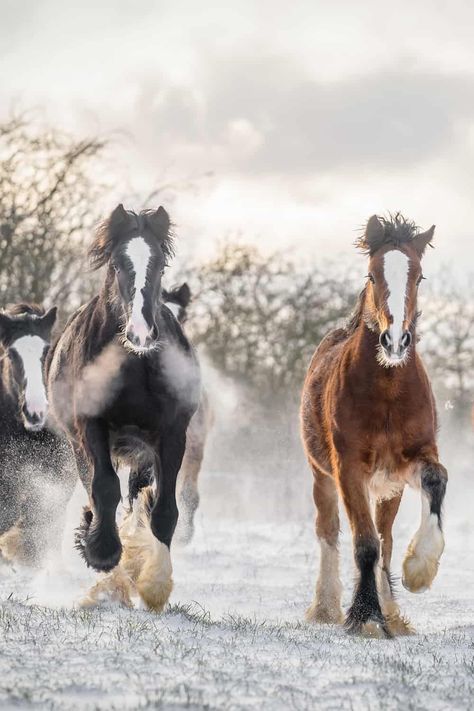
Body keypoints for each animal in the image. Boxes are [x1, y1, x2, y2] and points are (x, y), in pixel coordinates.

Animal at [48, 206, 202, 612]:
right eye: (118, 264)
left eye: (160, 264)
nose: (141, 333)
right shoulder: (90, 427)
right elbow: (103, 490)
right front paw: (103, 555)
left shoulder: (171, 434)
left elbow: (163, 510)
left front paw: (155, 584)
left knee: (137, 498)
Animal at [300, 214, 448, 636]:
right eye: (371, 274)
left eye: (419, 277)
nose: (395, 341)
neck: (387, 392)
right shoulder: (348, 468)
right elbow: (364, 543)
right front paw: (365, 617)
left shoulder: (411, 461)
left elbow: (437, 481)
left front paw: (419, 570)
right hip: (322, 477)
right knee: (329, 531)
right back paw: (326, 607)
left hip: (388, 489)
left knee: (386, 539)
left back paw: (392, 610)